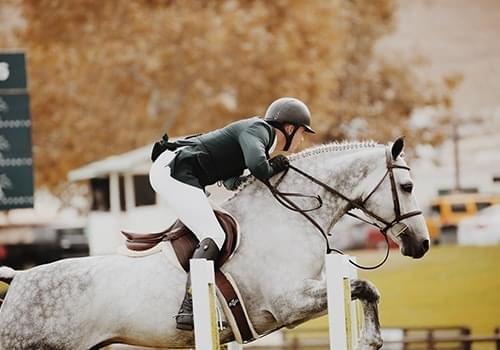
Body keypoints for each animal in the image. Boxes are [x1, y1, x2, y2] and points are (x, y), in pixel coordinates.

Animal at [0, 138, 430, 348]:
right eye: (408, 186)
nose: (422, 244)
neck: (290, 215)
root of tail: (18, 279)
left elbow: (365, 288)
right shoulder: (289, 302)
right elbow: (363, 286)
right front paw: (371, 339)